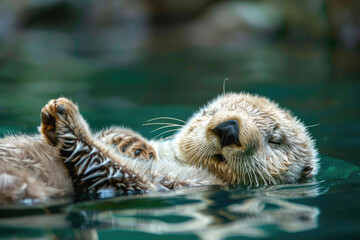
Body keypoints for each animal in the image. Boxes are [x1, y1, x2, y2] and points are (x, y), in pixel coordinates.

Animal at [0, 94, 318, 202]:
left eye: (275, 140)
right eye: (213, 111)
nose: (229, 128)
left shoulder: (160, 182)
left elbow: (108, 167)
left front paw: (66, 118)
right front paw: (129, 142)